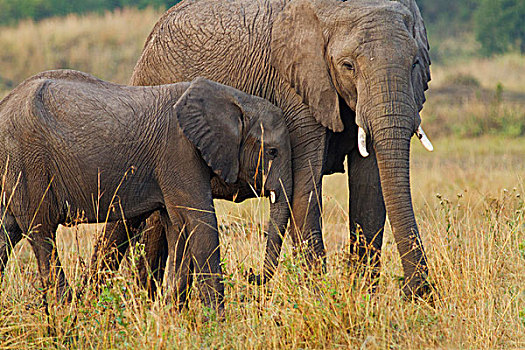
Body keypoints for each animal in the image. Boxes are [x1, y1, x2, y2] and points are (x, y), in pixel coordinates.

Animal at [0, 69, 290, 310]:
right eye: (272, 152)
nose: (250, 274)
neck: (232, 97)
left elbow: (178, 228)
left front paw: (172, 314)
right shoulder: (179, 152)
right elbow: (200, 222)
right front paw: (215, 323)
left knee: (7, 231)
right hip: (27, 164)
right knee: (41, 232)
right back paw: (67, 313)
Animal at [129, 0, 432, 296]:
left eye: (415, 63)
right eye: (348, 66)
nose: (416, 291)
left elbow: (369, 194)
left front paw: (360, 298)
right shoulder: (297, 87)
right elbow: (305, 189)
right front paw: (318, 298)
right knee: (147, 226)